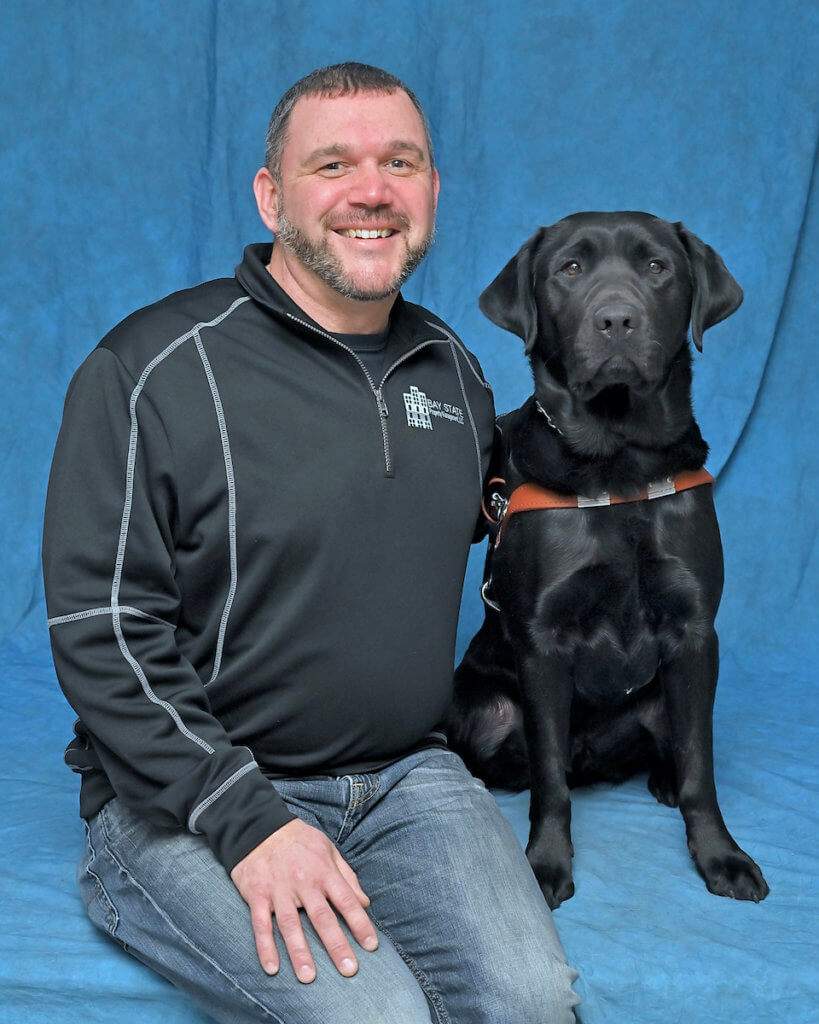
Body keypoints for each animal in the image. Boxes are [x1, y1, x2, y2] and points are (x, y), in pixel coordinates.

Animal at [450, 211, 769, 909]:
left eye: (657, 267)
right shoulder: (542, 642)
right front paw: (544, 864)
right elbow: (549, 781)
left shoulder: (694, 633)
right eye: (570, 269)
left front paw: (720, 856)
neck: (619, 463)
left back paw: (663, 780)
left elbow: (702, 766)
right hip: (483, 704)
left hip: (664, 694)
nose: (617, 319)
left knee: (672, 745)